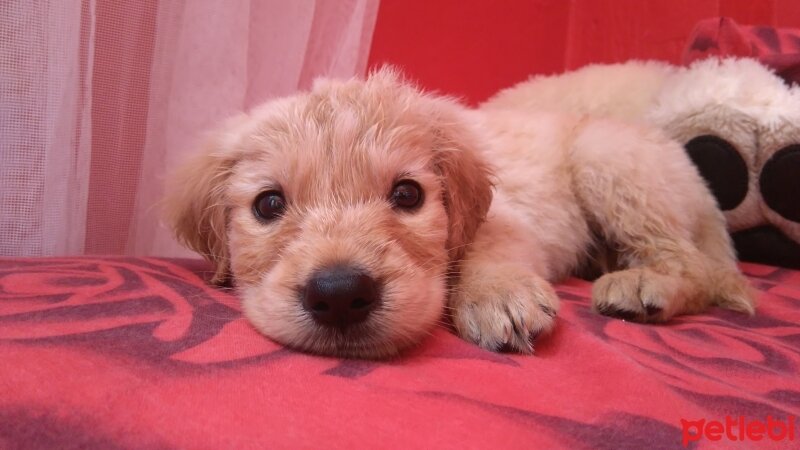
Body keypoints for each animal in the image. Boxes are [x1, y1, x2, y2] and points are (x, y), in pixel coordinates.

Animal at [164, 67, 756, 358]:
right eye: (269, 204)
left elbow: (484, 249)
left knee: (693, 265)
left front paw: (497, 295)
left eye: (407, 196)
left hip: (606, 155)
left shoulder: (506, 218)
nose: (339, 295)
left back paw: (641, 284)